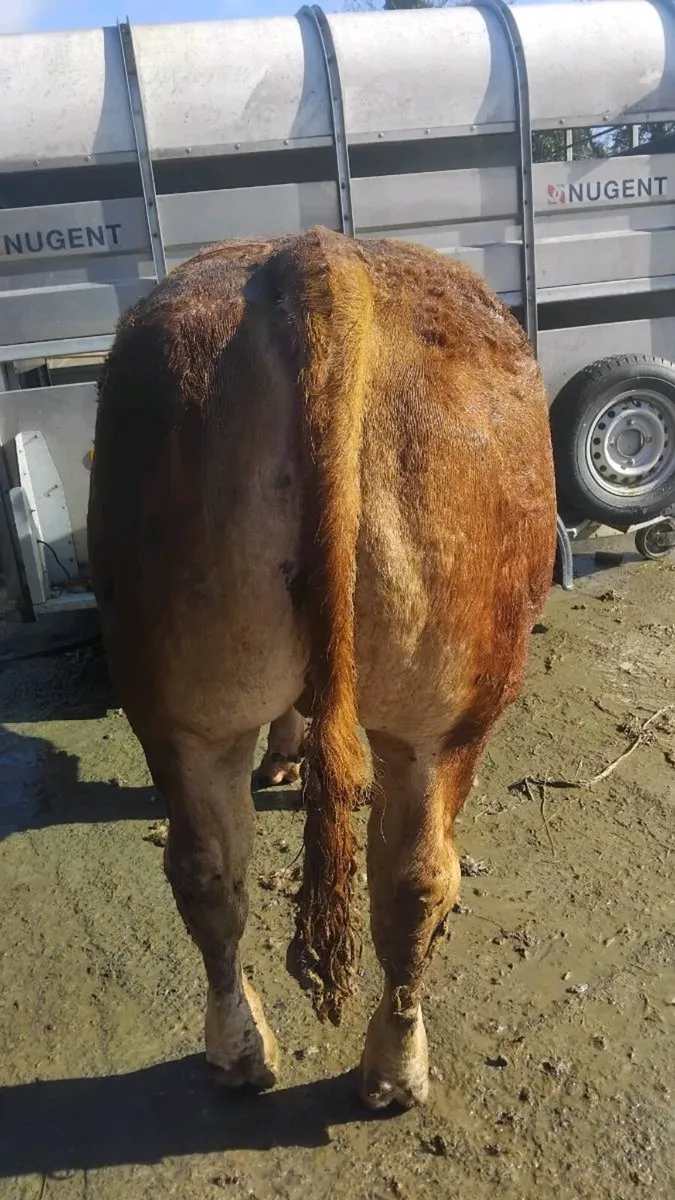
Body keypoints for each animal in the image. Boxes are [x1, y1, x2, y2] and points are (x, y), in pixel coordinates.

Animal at [87, 227, 557, 1110]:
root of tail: (316, 258)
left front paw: (285, 757)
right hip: (451, 710)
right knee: (411, 877)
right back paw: (383, 1066)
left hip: (184, 703)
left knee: (216, 870)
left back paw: (252, 1055)